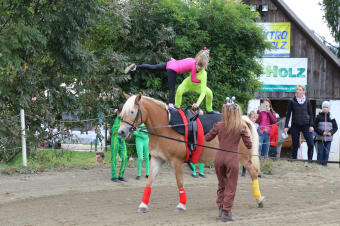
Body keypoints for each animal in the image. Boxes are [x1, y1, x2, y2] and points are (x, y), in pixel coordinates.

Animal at [118, 92, 264, 213]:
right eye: (121, 113)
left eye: (132, 111)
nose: (121, 132)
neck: (166, 127)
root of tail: (241, 120)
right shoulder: (156, 159)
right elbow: (149, 182)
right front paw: (143, 205)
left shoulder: (177, 161)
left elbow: (179, 182)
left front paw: (181, 205)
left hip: (243, 157)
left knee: (253, 172)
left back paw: (259, 199)